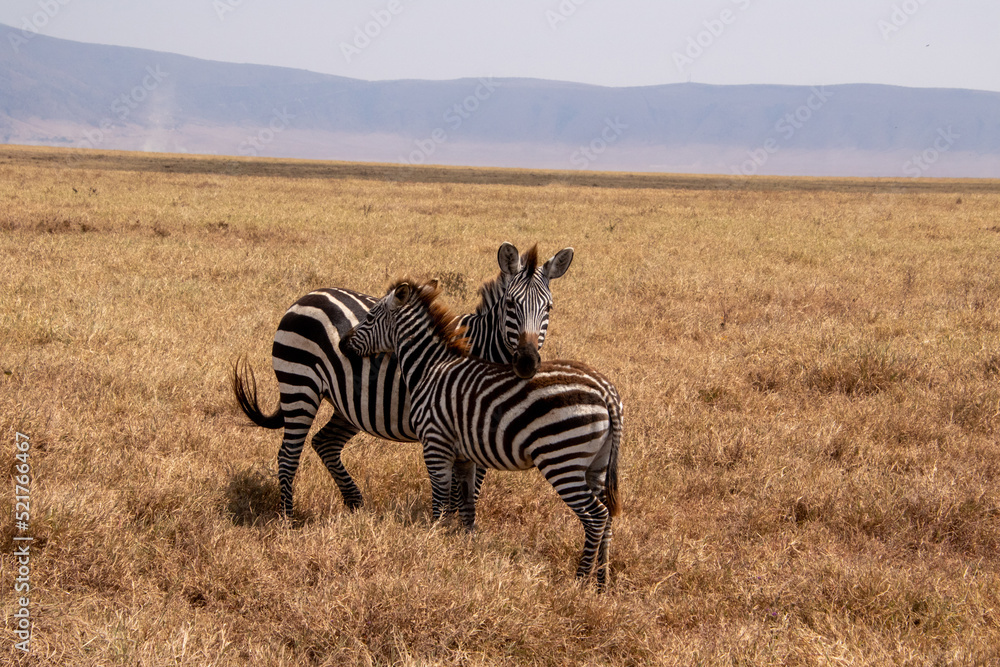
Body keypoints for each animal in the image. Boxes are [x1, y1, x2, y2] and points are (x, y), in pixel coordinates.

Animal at [232, 243, 574, 518]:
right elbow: (459, 486)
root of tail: (309, 295)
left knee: (324, 443)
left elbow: (470, 485)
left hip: (348, 404)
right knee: (289, 454)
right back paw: (288, 518)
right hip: (299, 385)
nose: (527, 362)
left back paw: (355, 504)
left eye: (549, 308)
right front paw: (450, 528)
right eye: (510, 305)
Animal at [341, 278, 622, 587]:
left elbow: (440, 499)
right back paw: (601, 580)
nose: (341, 344)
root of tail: (605, 390)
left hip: (562, 460)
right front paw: (464, 543)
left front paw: (433, 540)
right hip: (596, 464)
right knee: (608, 516)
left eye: (369, 318)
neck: (430, 368)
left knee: (595, 516)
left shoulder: (435, 443)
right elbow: (466, 504)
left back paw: (580, 579)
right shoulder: (464, 455)